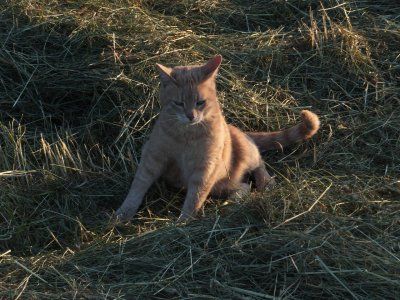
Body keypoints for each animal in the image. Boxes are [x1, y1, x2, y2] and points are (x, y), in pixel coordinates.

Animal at [115, 55, 318, 221]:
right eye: (179, 103)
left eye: (200, 102)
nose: (190, 116)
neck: (186, 136)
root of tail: (237, 130)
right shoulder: (152, 156)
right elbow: (138, 186)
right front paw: (124, 213)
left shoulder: (206, 167)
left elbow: (195, 198)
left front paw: (183, 221)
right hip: (223, 184)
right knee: (244, 187)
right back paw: (232, 200)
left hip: (243, 155)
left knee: (259, 163)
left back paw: (265, 184)